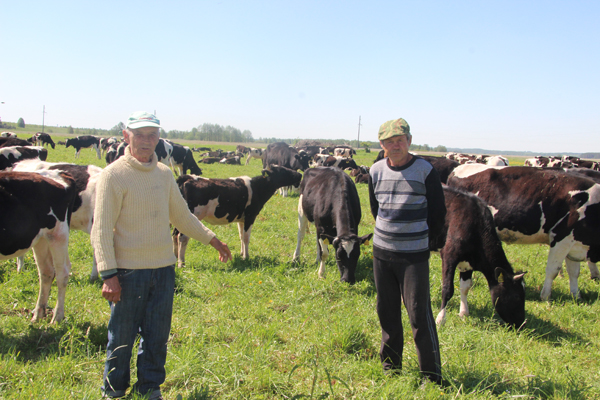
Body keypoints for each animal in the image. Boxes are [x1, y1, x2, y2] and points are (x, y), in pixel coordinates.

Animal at [0, 170, 77, 324]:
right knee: (46, 272)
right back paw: (38, 315)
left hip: (58, 235)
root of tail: (60, 173)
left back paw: (57, 317)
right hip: (41, 239)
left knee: (62, 273)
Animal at [173, 166, 304, 266]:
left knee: (175, 234)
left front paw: (241, 254)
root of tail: (187, 177)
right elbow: (246, 238)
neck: (257, 187)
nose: (299, 174)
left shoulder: (241, 219)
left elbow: (241, 236)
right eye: (283, 170)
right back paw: (181, 263)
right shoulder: (250, 216)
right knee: (183, 237)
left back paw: (175, 257)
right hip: (190, 216)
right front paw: (246, 256)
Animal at [432, 186, 524, 326]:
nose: (522, 323)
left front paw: (464, 313)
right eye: (517, 296)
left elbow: (465, 286)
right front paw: (441, 319)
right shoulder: (449, 256)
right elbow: (447, 289)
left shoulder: (467, 264)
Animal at [448, 163, 600, 300]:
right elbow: (553, 270)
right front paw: (546, 296)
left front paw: (576, 296)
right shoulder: (560, 238)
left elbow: (574, 272)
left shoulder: (574, 242)